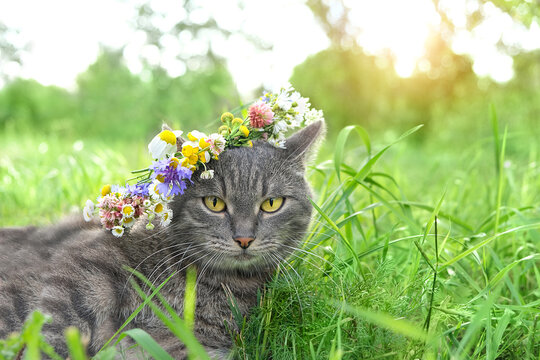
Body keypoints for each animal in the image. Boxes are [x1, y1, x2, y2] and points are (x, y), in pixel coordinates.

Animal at [0, 121, 322, 360]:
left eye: (271, 204)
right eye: (214, 203)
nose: (244, 239)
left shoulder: (194, 343)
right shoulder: (84, 271)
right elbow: (53, 328)